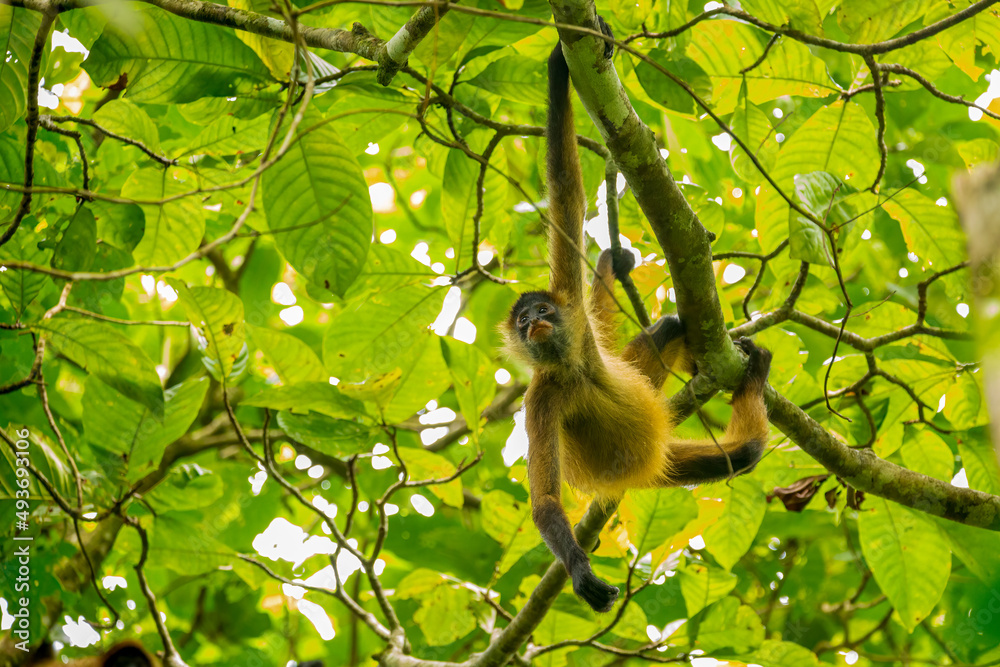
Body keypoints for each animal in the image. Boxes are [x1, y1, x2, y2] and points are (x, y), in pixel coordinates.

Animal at [503, 29, 772, 614]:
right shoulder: (540, 395)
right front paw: (579, 571)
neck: (572, 366)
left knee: (675, 334)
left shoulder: (576, 317)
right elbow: (545, 500)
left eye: (542, 312)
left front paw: (560, 62)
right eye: (523, 321)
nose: (533, 322)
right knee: (741, 456)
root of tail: (652, 459)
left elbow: (565, 183)